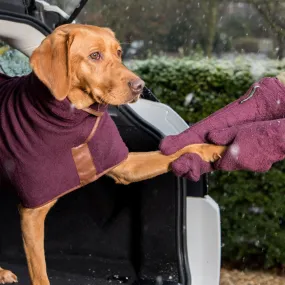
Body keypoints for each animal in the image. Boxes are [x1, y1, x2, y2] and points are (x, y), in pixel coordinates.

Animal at [0, 23, 224, 282]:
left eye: (119, 53)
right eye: (95, 55)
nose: (140, 87)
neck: (73, 119)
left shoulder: (125, 167)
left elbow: (176, 151)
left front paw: (216, 148)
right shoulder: (32, 213)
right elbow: (40, 274)